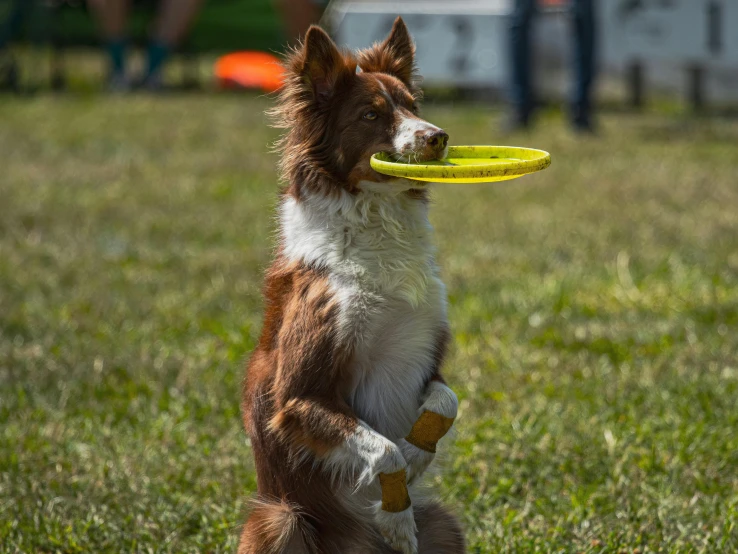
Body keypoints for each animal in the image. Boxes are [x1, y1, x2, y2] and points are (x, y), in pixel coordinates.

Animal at [239, 17, 462, 552]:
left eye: (412, 106)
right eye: (370, 114)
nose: (438, 137)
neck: (378, 228)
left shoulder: (426, 357)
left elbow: (446, 404)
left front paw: (417, 455)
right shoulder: (300, 395)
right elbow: (381, 450)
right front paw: (396, 515)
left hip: (446, 524)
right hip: (280, 517)